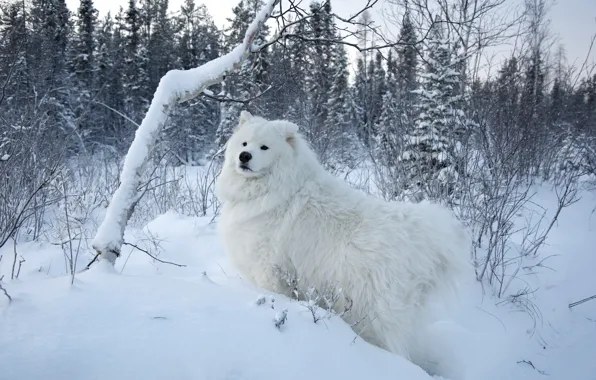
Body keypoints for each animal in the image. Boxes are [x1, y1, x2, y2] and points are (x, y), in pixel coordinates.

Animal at [214, 111, 470, 376]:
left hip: (370, 309)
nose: (245, 156)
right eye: (244, 144)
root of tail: (418, 235)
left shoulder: (269, 270)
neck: (272, 189)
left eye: (264, 147)